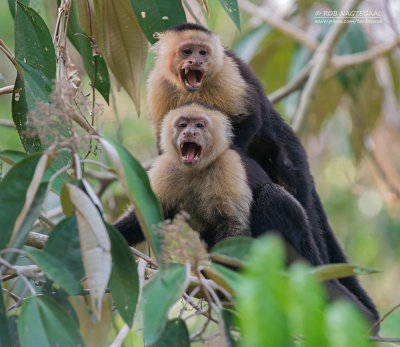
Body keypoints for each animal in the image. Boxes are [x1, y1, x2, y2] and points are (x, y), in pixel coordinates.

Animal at [115, 101, 378, 328]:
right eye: (182, 124)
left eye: (199, 125)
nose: (189, 132)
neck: (197, 169)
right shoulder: (166, 168)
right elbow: (143, 215)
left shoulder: (228, 165)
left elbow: (234, 225)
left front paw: (222, 281)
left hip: (303, 245)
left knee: (271, 197)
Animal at [145, 23, 380, 328]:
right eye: (187, 51)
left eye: (203, 52)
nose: (196, 61)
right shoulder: (158, 85)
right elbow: (163, 142)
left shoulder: (227, 73)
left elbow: (249, 118)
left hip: (289, 157)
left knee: (288, 197)